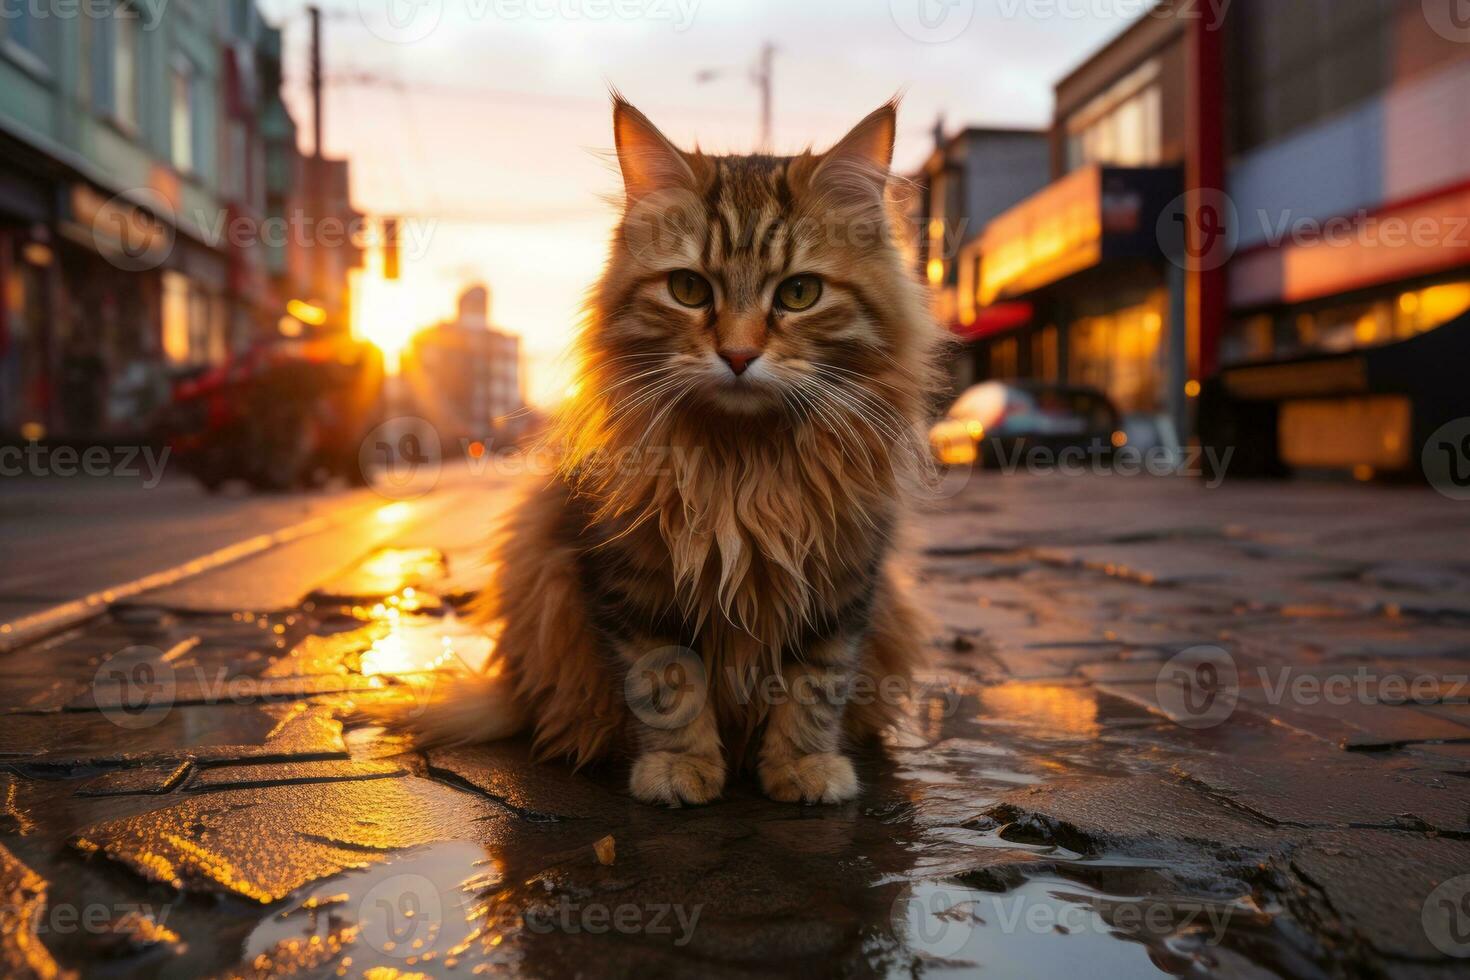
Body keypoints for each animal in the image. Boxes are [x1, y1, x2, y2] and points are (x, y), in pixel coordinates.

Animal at [373, 95, 934, 811]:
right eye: (689, 290)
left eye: (799, 293)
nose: (739, 355)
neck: (744, 462)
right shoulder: (629, 579)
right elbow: (667, 684)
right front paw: (680, 769)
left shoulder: (843, 580)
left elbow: (815, 684)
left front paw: (803, 769)